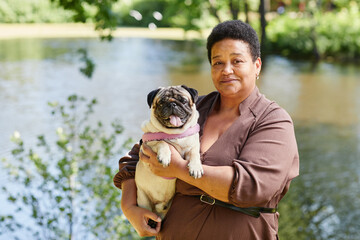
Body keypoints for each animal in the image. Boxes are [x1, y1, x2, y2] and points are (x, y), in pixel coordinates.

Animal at [134, 85, 202, 220]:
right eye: (161, 103)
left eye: (183, 101)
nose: (172, 104)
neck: (175, 133)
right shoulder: (148, 144)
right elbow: (162, 142)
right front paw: (164, 156)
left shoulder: (192, 147)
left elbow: (195, 154)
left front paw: (196, 167)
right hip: (143, 200)